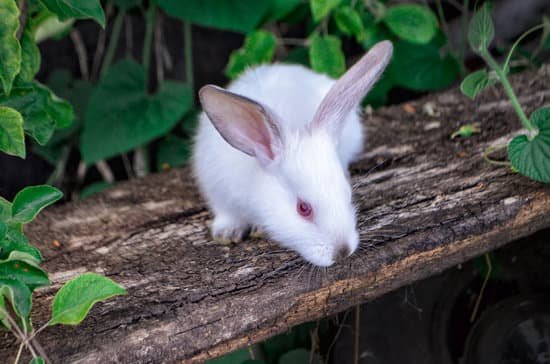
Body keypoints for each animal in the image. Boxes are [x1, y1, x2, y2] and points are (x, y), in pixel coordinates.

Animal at [194, 40, 392, 268]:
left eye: (347, 194)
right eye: (303, 208)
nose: (342, 252)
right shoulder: (216, 187)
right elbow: (226, 213)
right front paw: (227, 233)